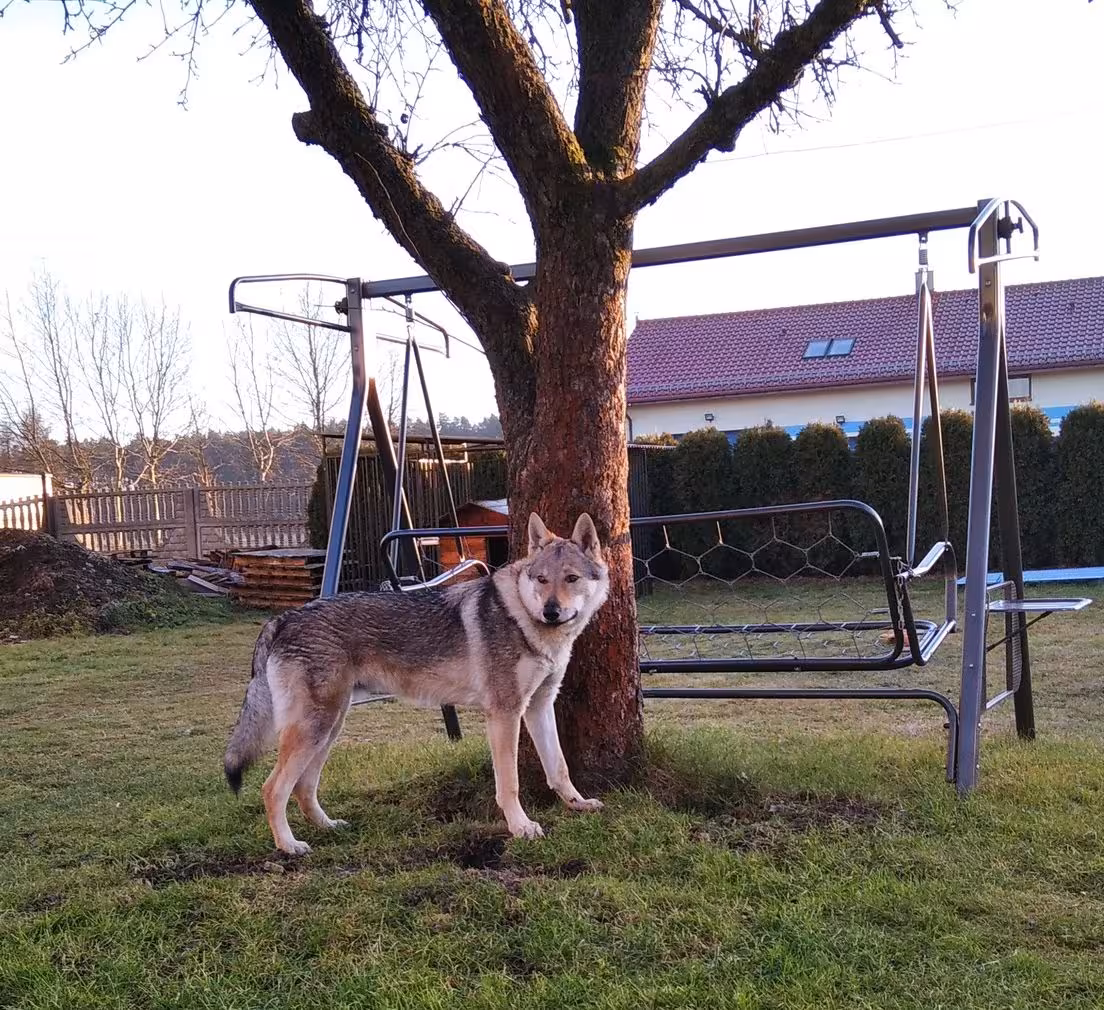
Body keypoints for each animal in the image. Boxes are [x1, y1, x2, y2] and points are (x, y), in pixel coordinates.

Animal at [224, 512, 611, 854]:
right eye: (542, 580)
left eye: (571, 578)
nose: (550, 611)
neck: (525, 620)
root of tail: (283, 618)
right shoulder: (505, 713)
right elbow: (509, 783)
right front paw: (521, 827)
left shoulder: (539, 706)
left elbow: (558, 768)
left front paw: (577, 804)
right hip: (315, 728)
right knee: (272, 788)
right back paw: (289, 846)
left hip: (329, 728)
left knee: (304, 787)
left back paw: (328, 827)